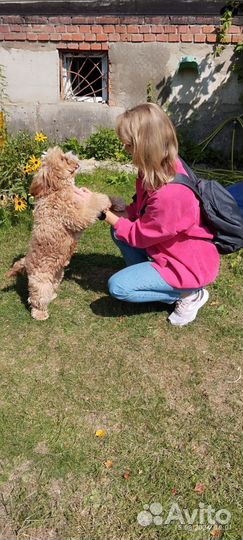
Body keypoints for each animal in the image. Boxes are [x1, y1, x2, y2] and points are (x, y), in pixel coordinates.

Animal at [6, 146, 111, 318]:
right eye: (62, 158)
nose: (74, 157)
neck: (55, 189)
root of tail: (26, 263)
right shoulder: (75, 214)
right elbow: (91, 204)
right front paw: (104, 200)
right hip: (40, 282)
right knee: (36, 299)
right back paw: (40, 314)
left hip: (56, 274)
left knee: (51, 287)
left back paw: (53, 295)